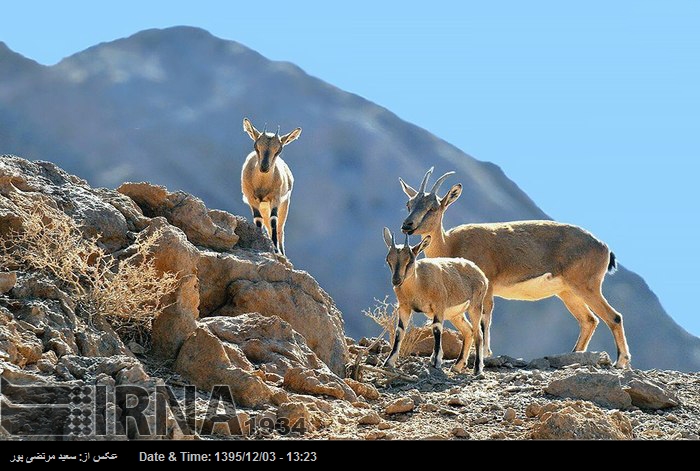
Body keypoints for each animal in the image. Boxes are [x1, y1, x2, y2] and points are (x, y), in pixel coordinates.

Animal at [241, 118, 300, 258]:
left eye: (278, 150)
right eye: (256, 146)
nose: (264, 167)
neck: (262, 185)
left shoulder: (275, 199)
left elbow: (274, 220)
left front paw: (276, 250)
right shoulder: (251, 199)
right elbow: (258, 220)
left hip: (284, 204)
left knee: (280, 229)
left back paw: (282, 252)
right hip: (264, 206)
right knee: (267, 225)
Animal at [382, 228, 486, 376]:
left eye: (410, 260)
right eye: (388, 260)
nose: (396, 281)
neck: (418, 283)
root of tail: (481, 275)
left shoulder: (439, 306)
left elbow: (436, 329)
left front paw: (436, 361)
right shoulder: (404, 307)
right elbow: (399, 331)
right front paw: (389, 361)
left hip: (475, 306)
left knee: (478, 334)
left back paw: (477, 369)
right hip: (456, 315)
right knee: (468, 331)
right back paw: (457, 366)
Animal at [396, 168, 632, 370]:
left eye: (433, 208)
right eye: (409, 204)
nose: (407, 225)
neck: (451, 244)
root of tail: (604, 248)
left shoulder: (487, 287)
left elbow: (485, 319)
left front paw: (484, 355)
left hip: (586, 286)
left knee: (614, 317)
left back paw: (620, 362)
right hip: (567, 292)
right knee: (589, 320)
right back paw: (575, 355)